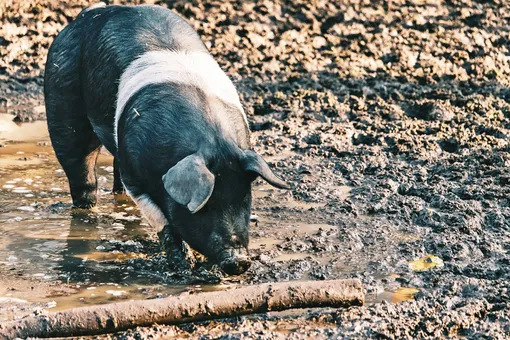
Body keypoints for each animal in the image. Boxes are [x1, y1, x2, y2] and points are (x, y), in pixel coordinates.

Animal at [43, 2, 288, 274]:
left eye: (244, 198)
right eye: (206, 205)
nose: (239, 261)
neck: (210, 142)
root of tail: (89, 13)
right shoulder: (135, 174)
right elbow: (161, 219)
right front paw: (183, 262)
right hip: (62, 101)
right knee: (80, 169)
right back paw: (85, 213)